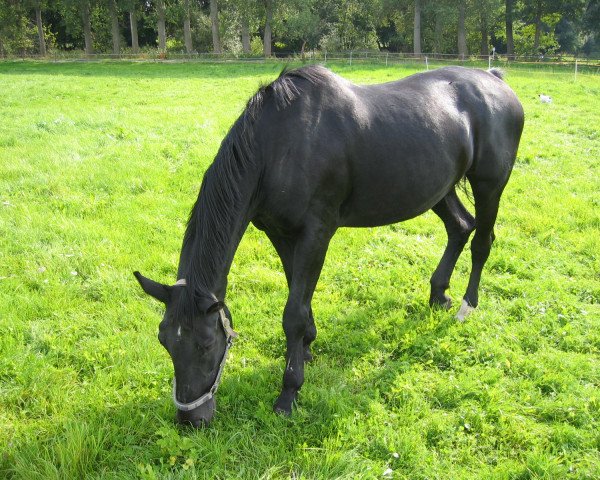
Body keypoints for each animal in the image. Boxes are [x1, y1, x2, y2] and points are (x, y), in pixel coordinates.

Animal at [134, 64, 524, 428]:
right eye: (164, 340)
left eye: (206, 343)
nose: (191, 420)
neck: (278, 145)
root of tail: (495, 79)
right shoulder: (280, 232)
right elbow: (297, 294)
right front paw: (307, 345)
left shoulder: (316, 233)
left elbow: (293, 312)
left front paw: (289, 393)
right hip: (438, 189)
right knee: (460, 227)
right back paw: (438, 294)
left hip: (490, 184)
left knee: (482, 241)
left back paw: (466, 306)